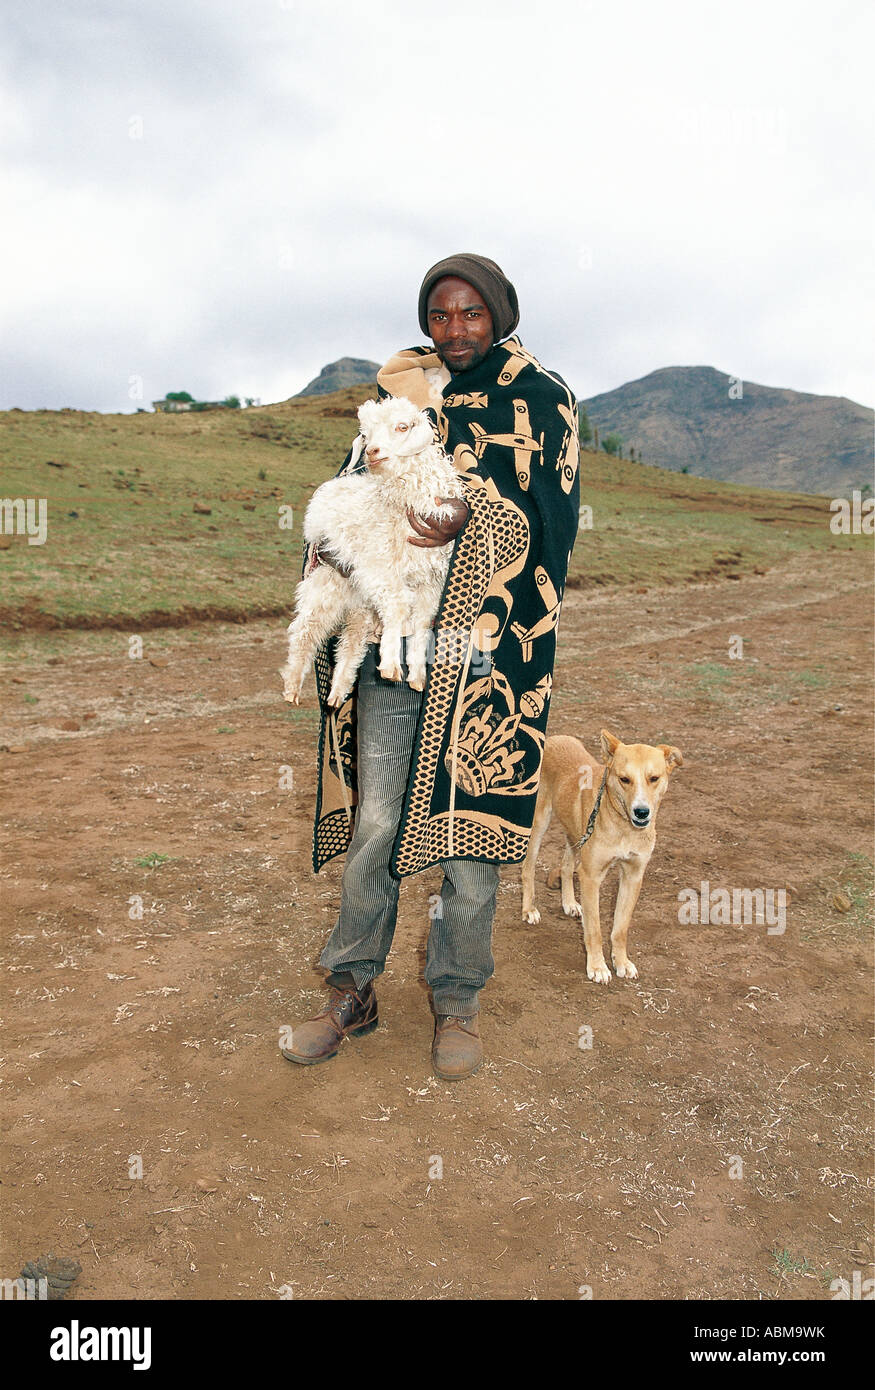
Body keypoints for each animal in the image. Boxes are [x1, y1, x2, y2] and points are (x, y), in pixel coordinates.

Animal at [283, 397, 467, 711]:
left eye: (402, 427)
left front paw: (416, 673)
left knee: (352, 641)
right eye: (365, 435)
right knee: (305, 631)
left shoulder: (430, 580)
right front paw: (391, 665)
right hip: (327, 582)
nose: (371, 452)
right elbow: (399, 607)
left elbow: (420, 623)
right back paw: (293, 686)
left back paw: (337, 691)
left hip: (360, 603)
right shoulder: (380, 566)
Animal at [523, 733, 678, 984]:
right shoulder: (591, 877)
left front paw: (621, 962)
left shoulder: (633, 875)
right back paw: (529, 909)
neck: (623, 827)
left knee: (566, 866)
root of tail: (554, 738)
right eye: (624, 779)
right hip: (539, 823)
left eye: (654, 778)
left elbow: (621, 928)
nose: (641, 812)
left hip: (575, 833)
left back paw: (569, 903)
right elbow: (594, 928)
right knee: (528, 868)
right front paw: (597, 966)